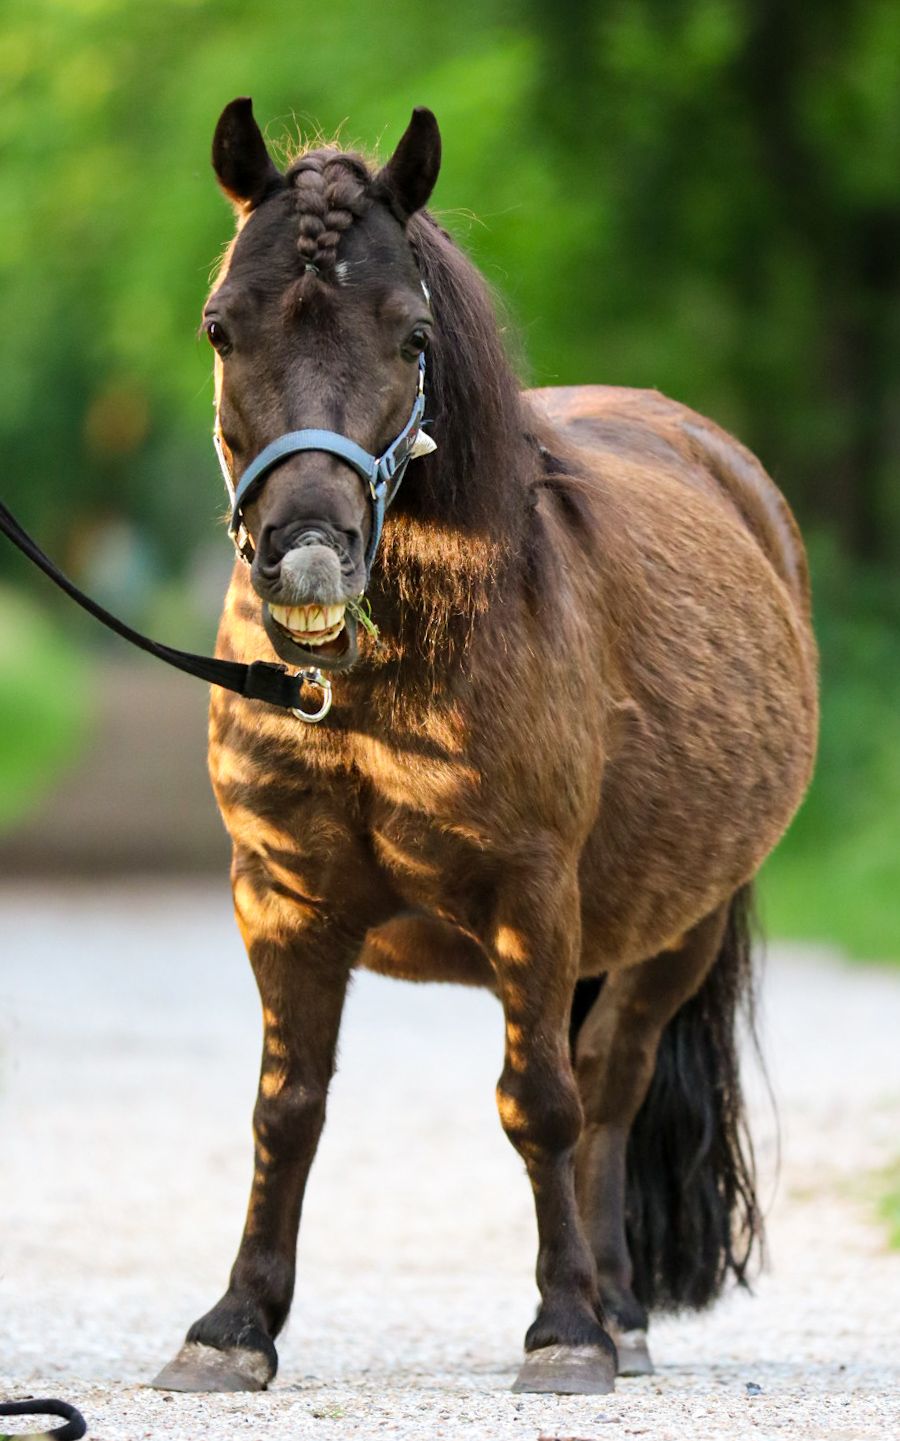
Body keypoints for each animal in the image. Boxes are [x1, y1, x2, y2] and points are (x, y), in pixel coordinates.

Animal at [152, 99, 818, 1397]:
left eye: (411, 333)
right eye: (220, 326)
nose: (309, 558)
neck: (385, 686)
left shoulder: (534, 898)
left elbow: (542, 1105)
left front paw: (565, 1330)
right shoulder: (280, 897)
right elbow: (285, 1107)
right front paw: (234, 1325)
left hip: (676, 932)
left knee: (607, 1090)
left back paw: (617, 1311)